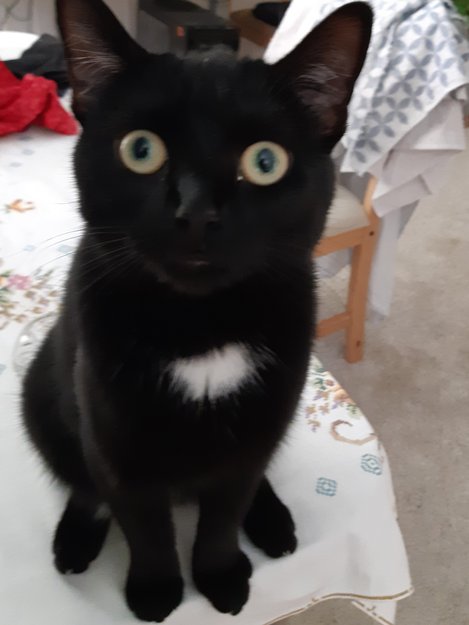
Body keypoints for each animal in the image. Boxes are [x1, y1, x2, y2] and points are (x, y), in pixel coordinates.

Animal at [22, 0, 371, 621]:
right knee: (82, 482)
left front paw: (222, 577)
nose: (196, 211)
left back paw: (273, 523)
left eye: (265, 161)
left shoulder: (258, 426)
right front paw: (157, 590)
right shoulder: (116, 442)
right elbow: (146, 526)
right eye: (141, 150)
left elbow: (223, 513)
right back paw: (76, 539)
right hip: (44, 394)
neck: (201, 328)